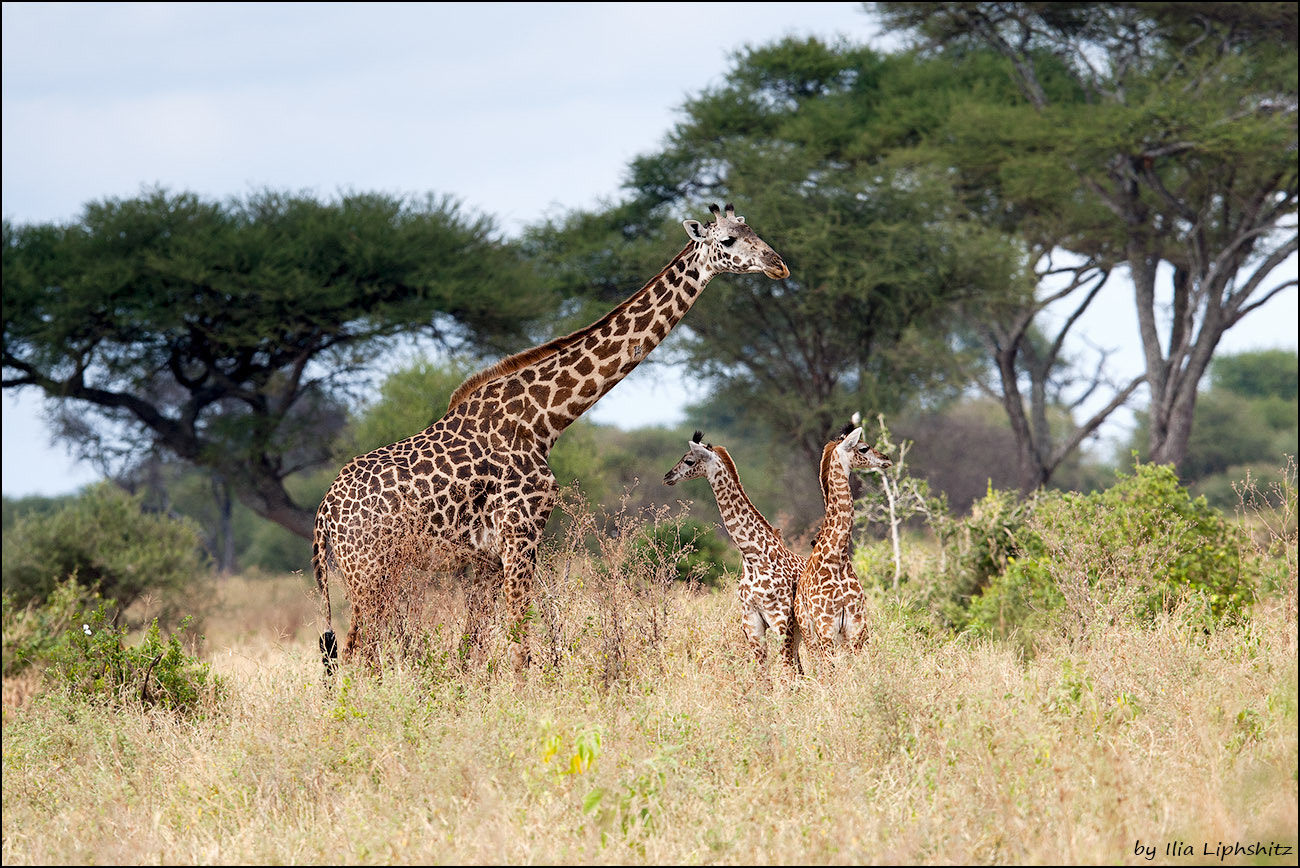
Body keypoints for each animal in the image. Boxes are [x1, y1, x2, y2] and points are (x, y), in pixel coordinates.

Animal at [314, 201, 785, 670]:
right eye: (728, 240)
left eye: (755, 231)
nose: (778, 264)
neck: (544, 419)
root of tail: (325, 513)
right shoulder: (520, 535)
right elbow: (520, 636)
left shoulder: (488, 555)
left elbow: (475, 645)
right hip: (369, 572)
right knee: (356, 651)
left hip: (373, 574)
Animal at [665, 431, 806, 675]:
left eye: (689, 461)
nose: (667, 476)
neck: (753, 557)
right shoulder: (752, 623)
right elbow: (763, 675)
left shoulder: (781, 621)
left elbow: (786, 674)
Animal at [790, 426, 894, 670]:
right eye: (863, 448)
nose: (886, 459)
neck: (837, 557)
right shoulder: (826, 626)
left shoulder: (855, 628)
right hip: (809, 632)